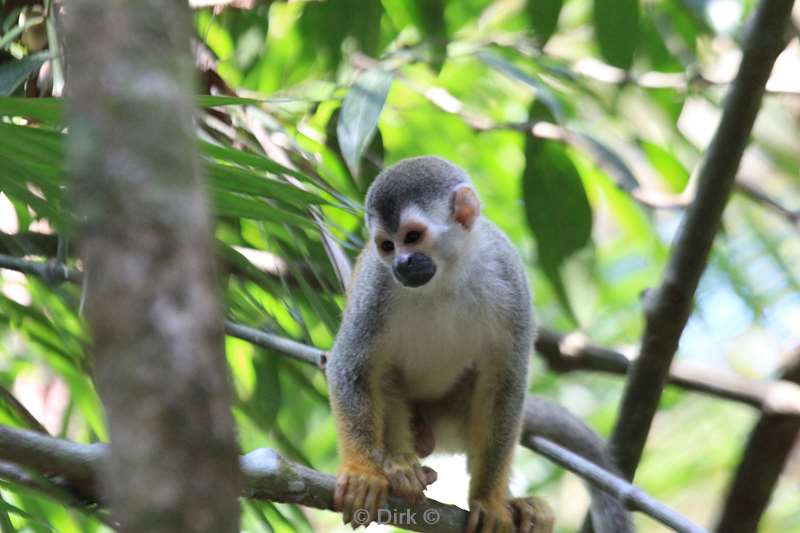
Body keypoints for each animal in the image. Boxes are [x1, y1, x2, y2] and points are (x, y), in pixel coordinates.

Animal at [328, 157, 552, 532]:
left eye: (412, 237)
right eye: (387, 245)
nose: (402, 263)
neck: (446, 275)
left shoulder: (508, 274)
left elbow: (503, 385)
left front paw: (489, 500)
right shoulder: (376, 283)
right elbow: (352, 369)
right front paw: (363, 472)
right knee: (383, 376)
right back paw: (399, 468)